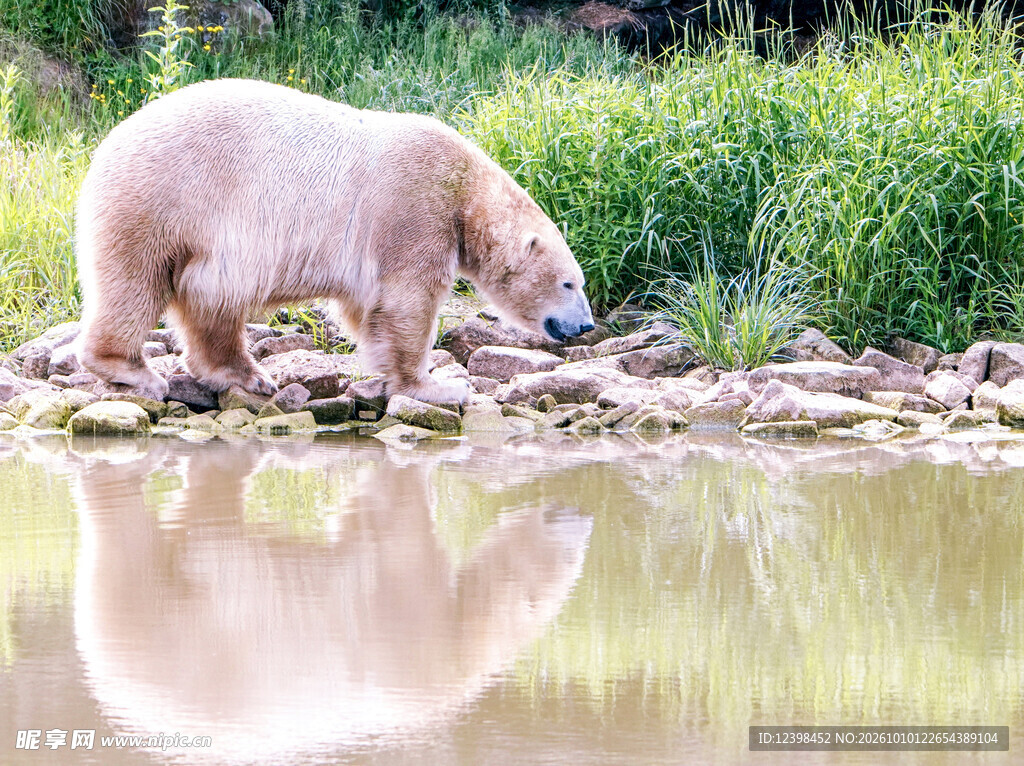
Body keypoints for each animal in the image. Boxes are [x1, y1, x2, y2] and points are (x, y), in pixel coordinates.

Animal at [76, 78, 594, 404]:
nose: (587, 325)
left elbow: (368, 310)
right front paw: (440, 387)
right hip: (160, 200)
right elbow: (408, 301)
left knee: (210, 300)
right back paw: (133, 371)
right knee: (135, 283)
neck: (465, 192)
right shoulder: (414, 208)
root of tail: (107, 143)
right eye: (570, 283)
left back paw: (251, 376)